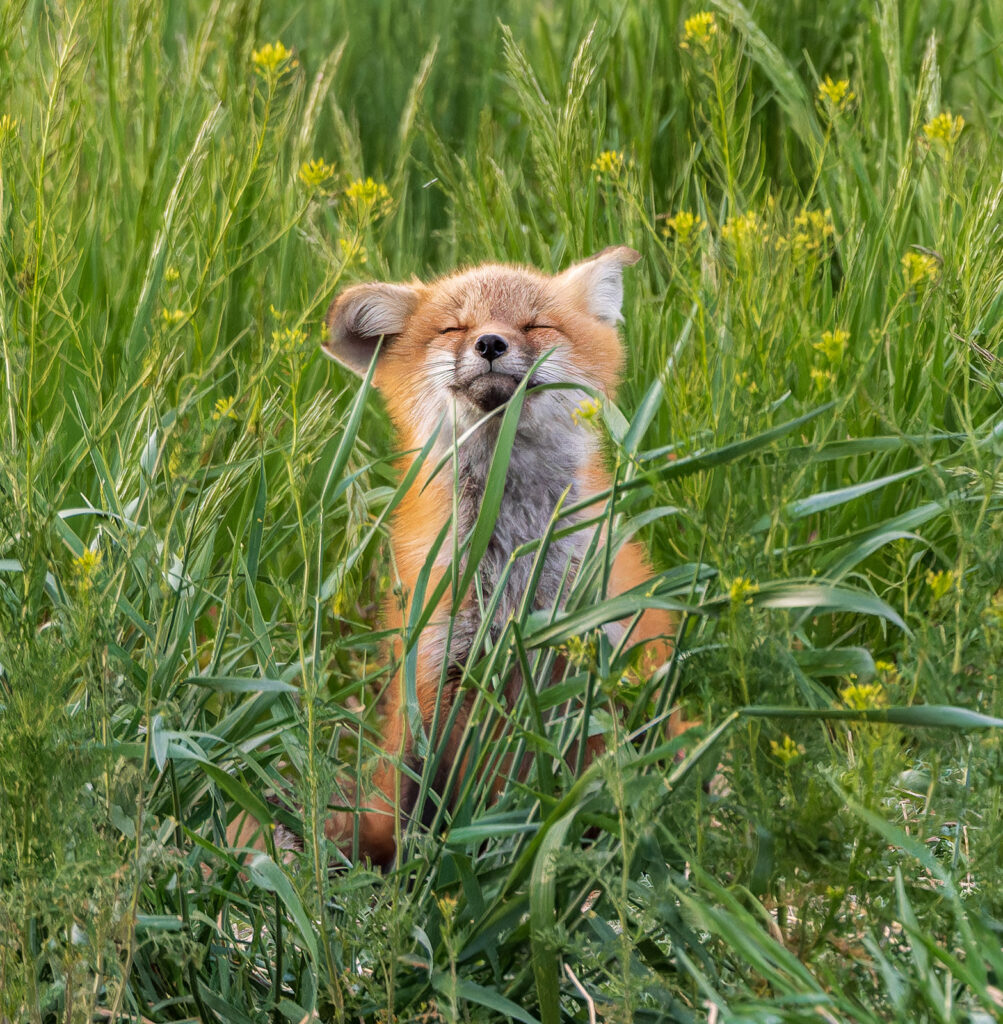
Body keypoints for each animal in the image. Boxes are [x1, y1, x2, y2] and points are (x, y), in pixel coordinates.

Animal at [311, 246, 675, 867]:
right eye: (453, 329)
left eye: (535, 325)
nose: (489, 343)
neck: (513, 572)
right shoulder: (435, 679)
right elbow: (422, 806)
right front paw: (417, 884)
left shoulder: (597, 665)